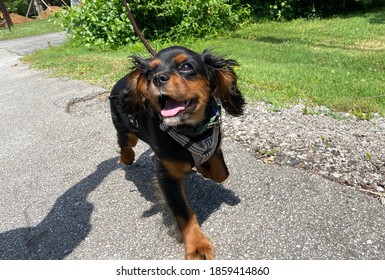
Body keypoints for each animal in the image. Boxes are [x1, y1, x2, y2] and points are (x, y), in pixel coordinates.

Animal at [109, 44, 244, 260]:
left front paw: (203, 168)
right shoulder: (167, 176)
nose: (157, 78)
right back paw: (127, 158)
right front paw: (197, 245)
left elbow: (221, 173)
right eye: (150, 72)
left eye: (186, 66)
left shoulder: (215, 144)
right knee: (125, 144)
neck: (191, 131)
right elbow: (184, 213)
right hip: (126, 130)